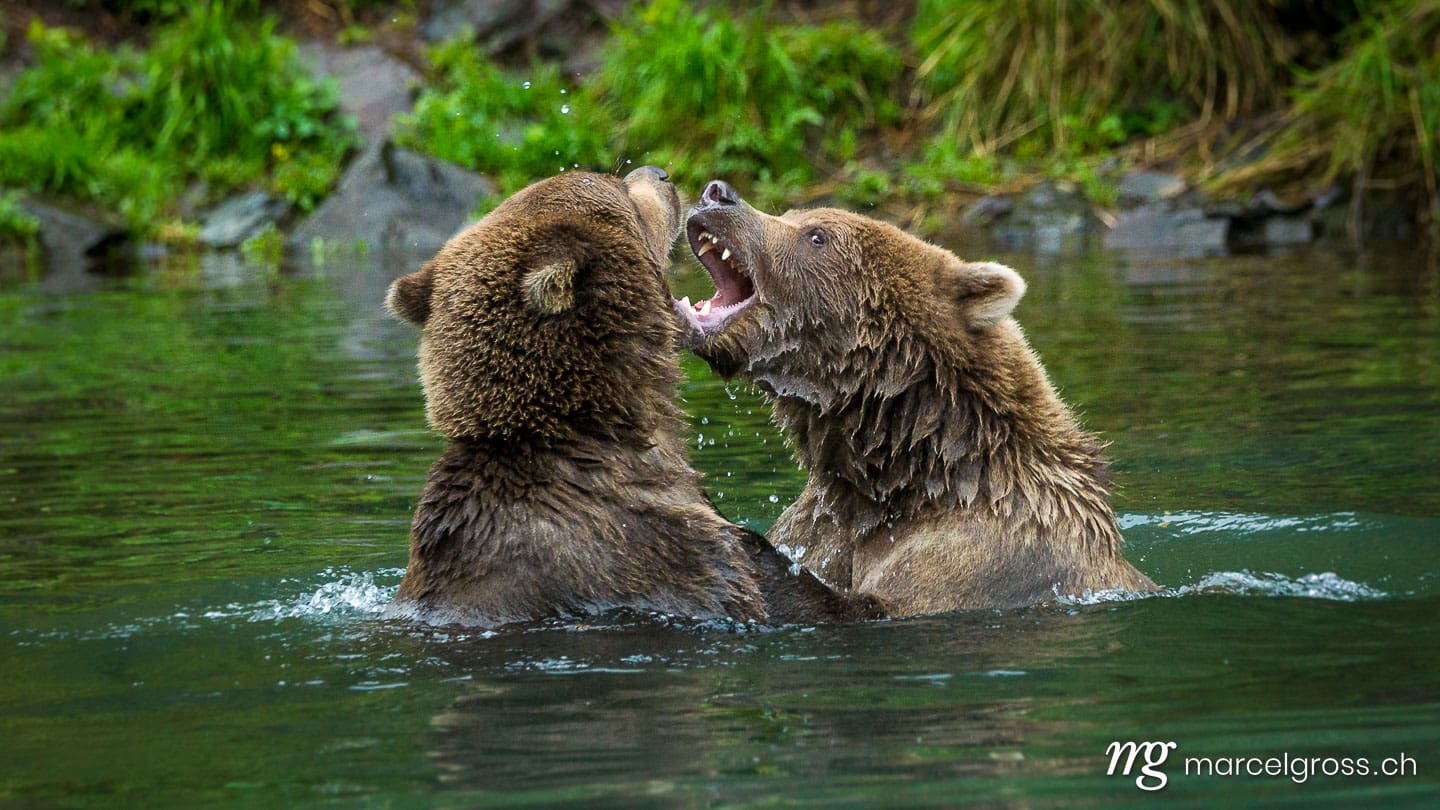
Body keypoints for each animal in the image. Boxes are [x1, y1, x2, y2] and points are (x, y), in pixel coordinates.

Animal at [673, 179, 1157, 616]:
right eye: (791, 214)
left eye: (816, 235)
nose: (718, 193)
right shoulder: (818, 528)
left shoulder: (986, 553)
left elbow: (864, 605)